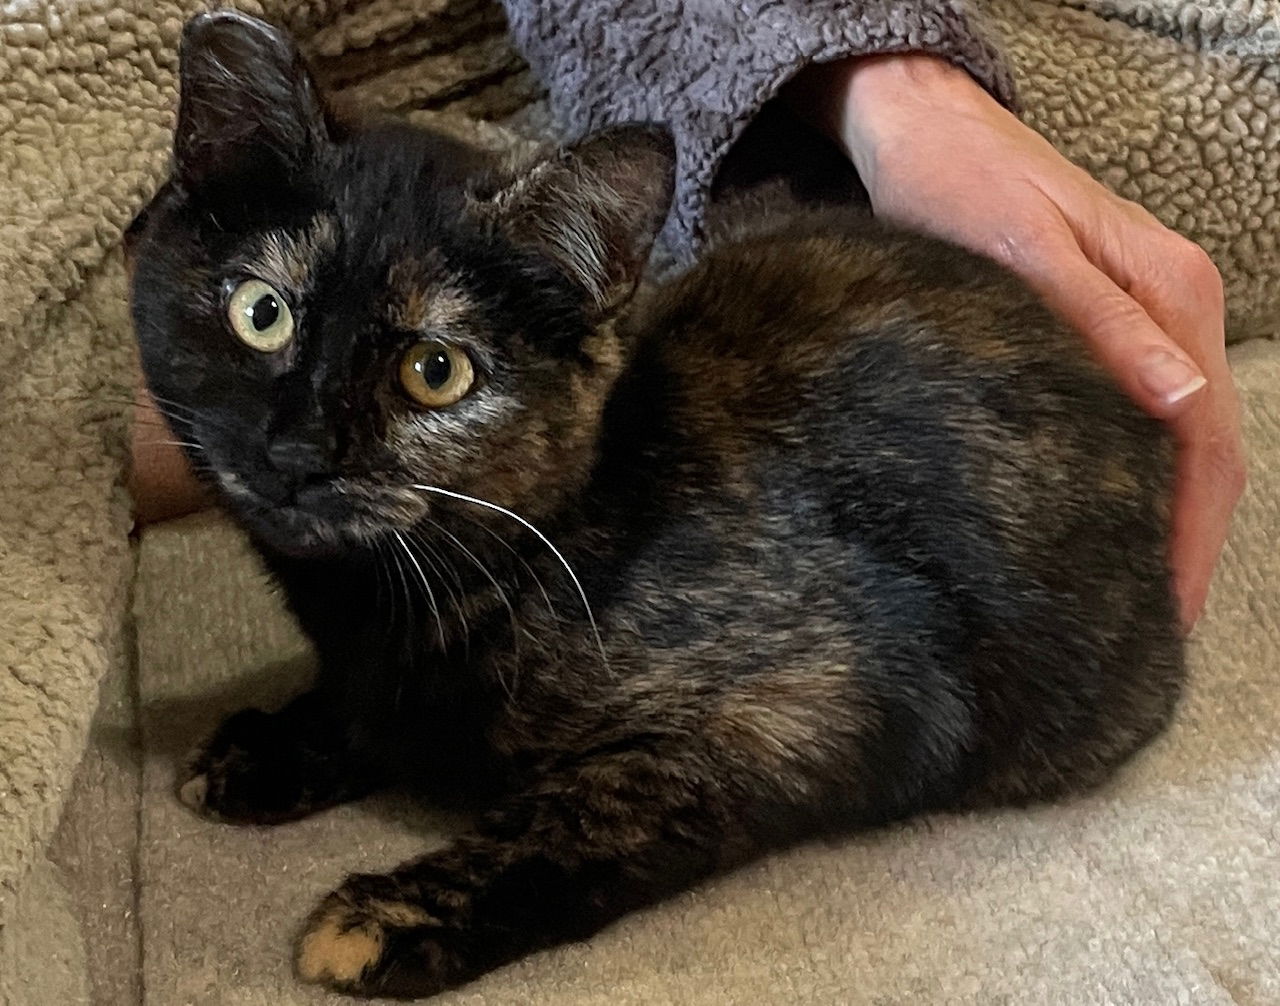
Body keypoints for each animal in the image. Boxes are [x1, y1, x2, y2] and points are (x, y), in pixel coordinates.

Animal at [128, 10, 1184, 1000]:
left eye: (436, 371)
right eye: (261, 312)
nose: (298, 452)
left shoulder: (829, 700)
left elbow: (590, 815)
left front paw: (396, 912)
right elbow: (376, 712)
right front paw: (278, 744)